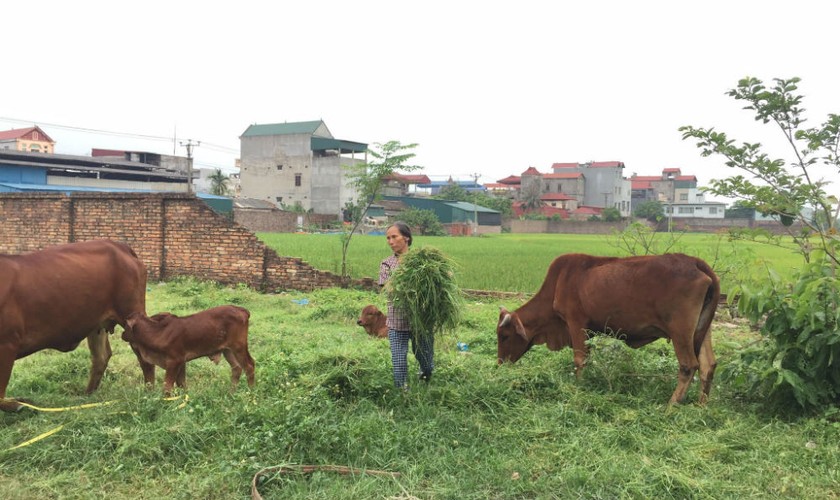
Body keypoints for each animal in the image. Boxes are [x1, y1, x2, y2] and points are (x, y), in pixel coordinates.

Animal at [0, 240, 148, 412]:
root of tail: (118, 245)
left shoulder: (7, 343)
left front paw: (20, 404)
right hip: (96, 324)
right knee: (101, 357)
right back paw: (88, 396)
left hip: (130, 314)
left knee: (144, 356)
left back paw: (149, 392)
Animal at [121, 304, 253, 394]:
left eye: (126, 325)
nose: (122, 334)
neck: (158, 333)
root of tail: (242, 310)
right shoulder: (181, 362)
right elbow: (181, 384)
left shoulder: (175, 361)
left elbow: (167, 387)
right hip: (227, 350)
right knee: (237, 368)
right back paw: (231, 392)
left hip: (239, 346)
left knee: (249, 366)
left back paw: (251, 392)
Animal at [496, 252, 720, 404]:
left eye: (504, 336)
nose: (499, 364)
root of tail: (695, 262)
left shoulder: (575, 323)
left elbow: (579, 359)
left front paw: (579, 386)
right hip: (702, 329)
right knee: (708, 365)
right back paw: (701, 405)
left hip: (680, 331)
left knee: (688, 366)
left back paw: (671, 405)